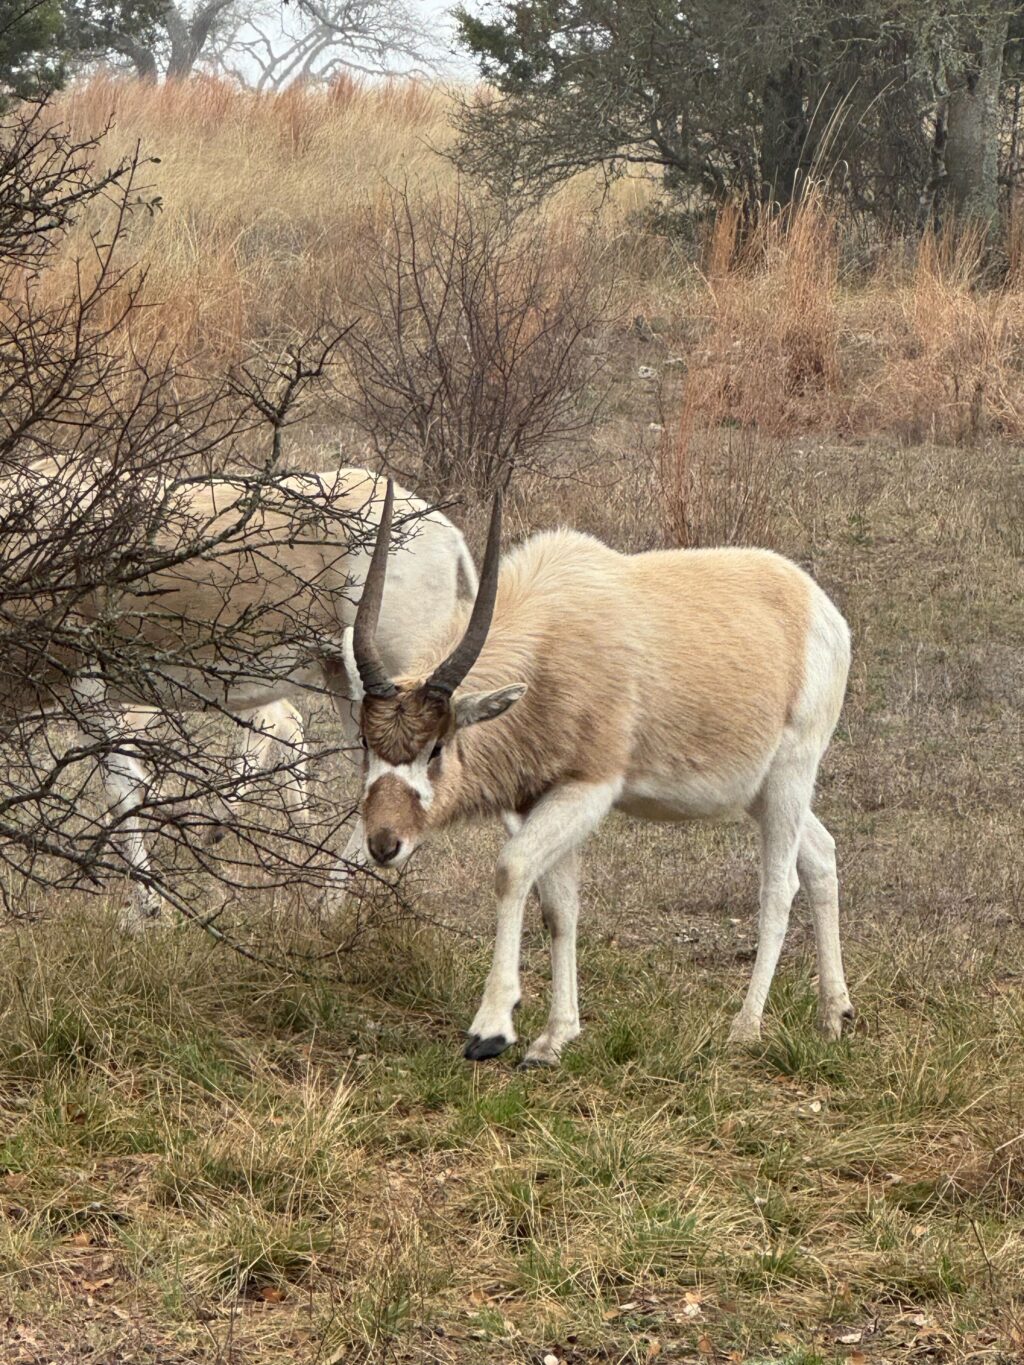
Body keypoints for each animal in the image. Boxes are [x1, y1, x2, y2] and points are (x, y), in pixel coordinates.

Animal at [349, 485, 851, 1070]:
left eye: (436, 747)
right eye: (366, 743)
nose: (384, 843)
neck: (551, 636)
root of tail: (820, 607)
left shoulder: (589, 788)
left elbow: (512, 870)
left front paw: (492, 1029)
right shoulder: (538, 798)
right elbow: (559, 908)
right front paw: (554, 1038)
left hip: (792, 771)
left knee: (780, 885)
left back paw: (745, 1027)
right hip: (760, 791)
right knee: (820, 855)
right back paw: (835, 1014)